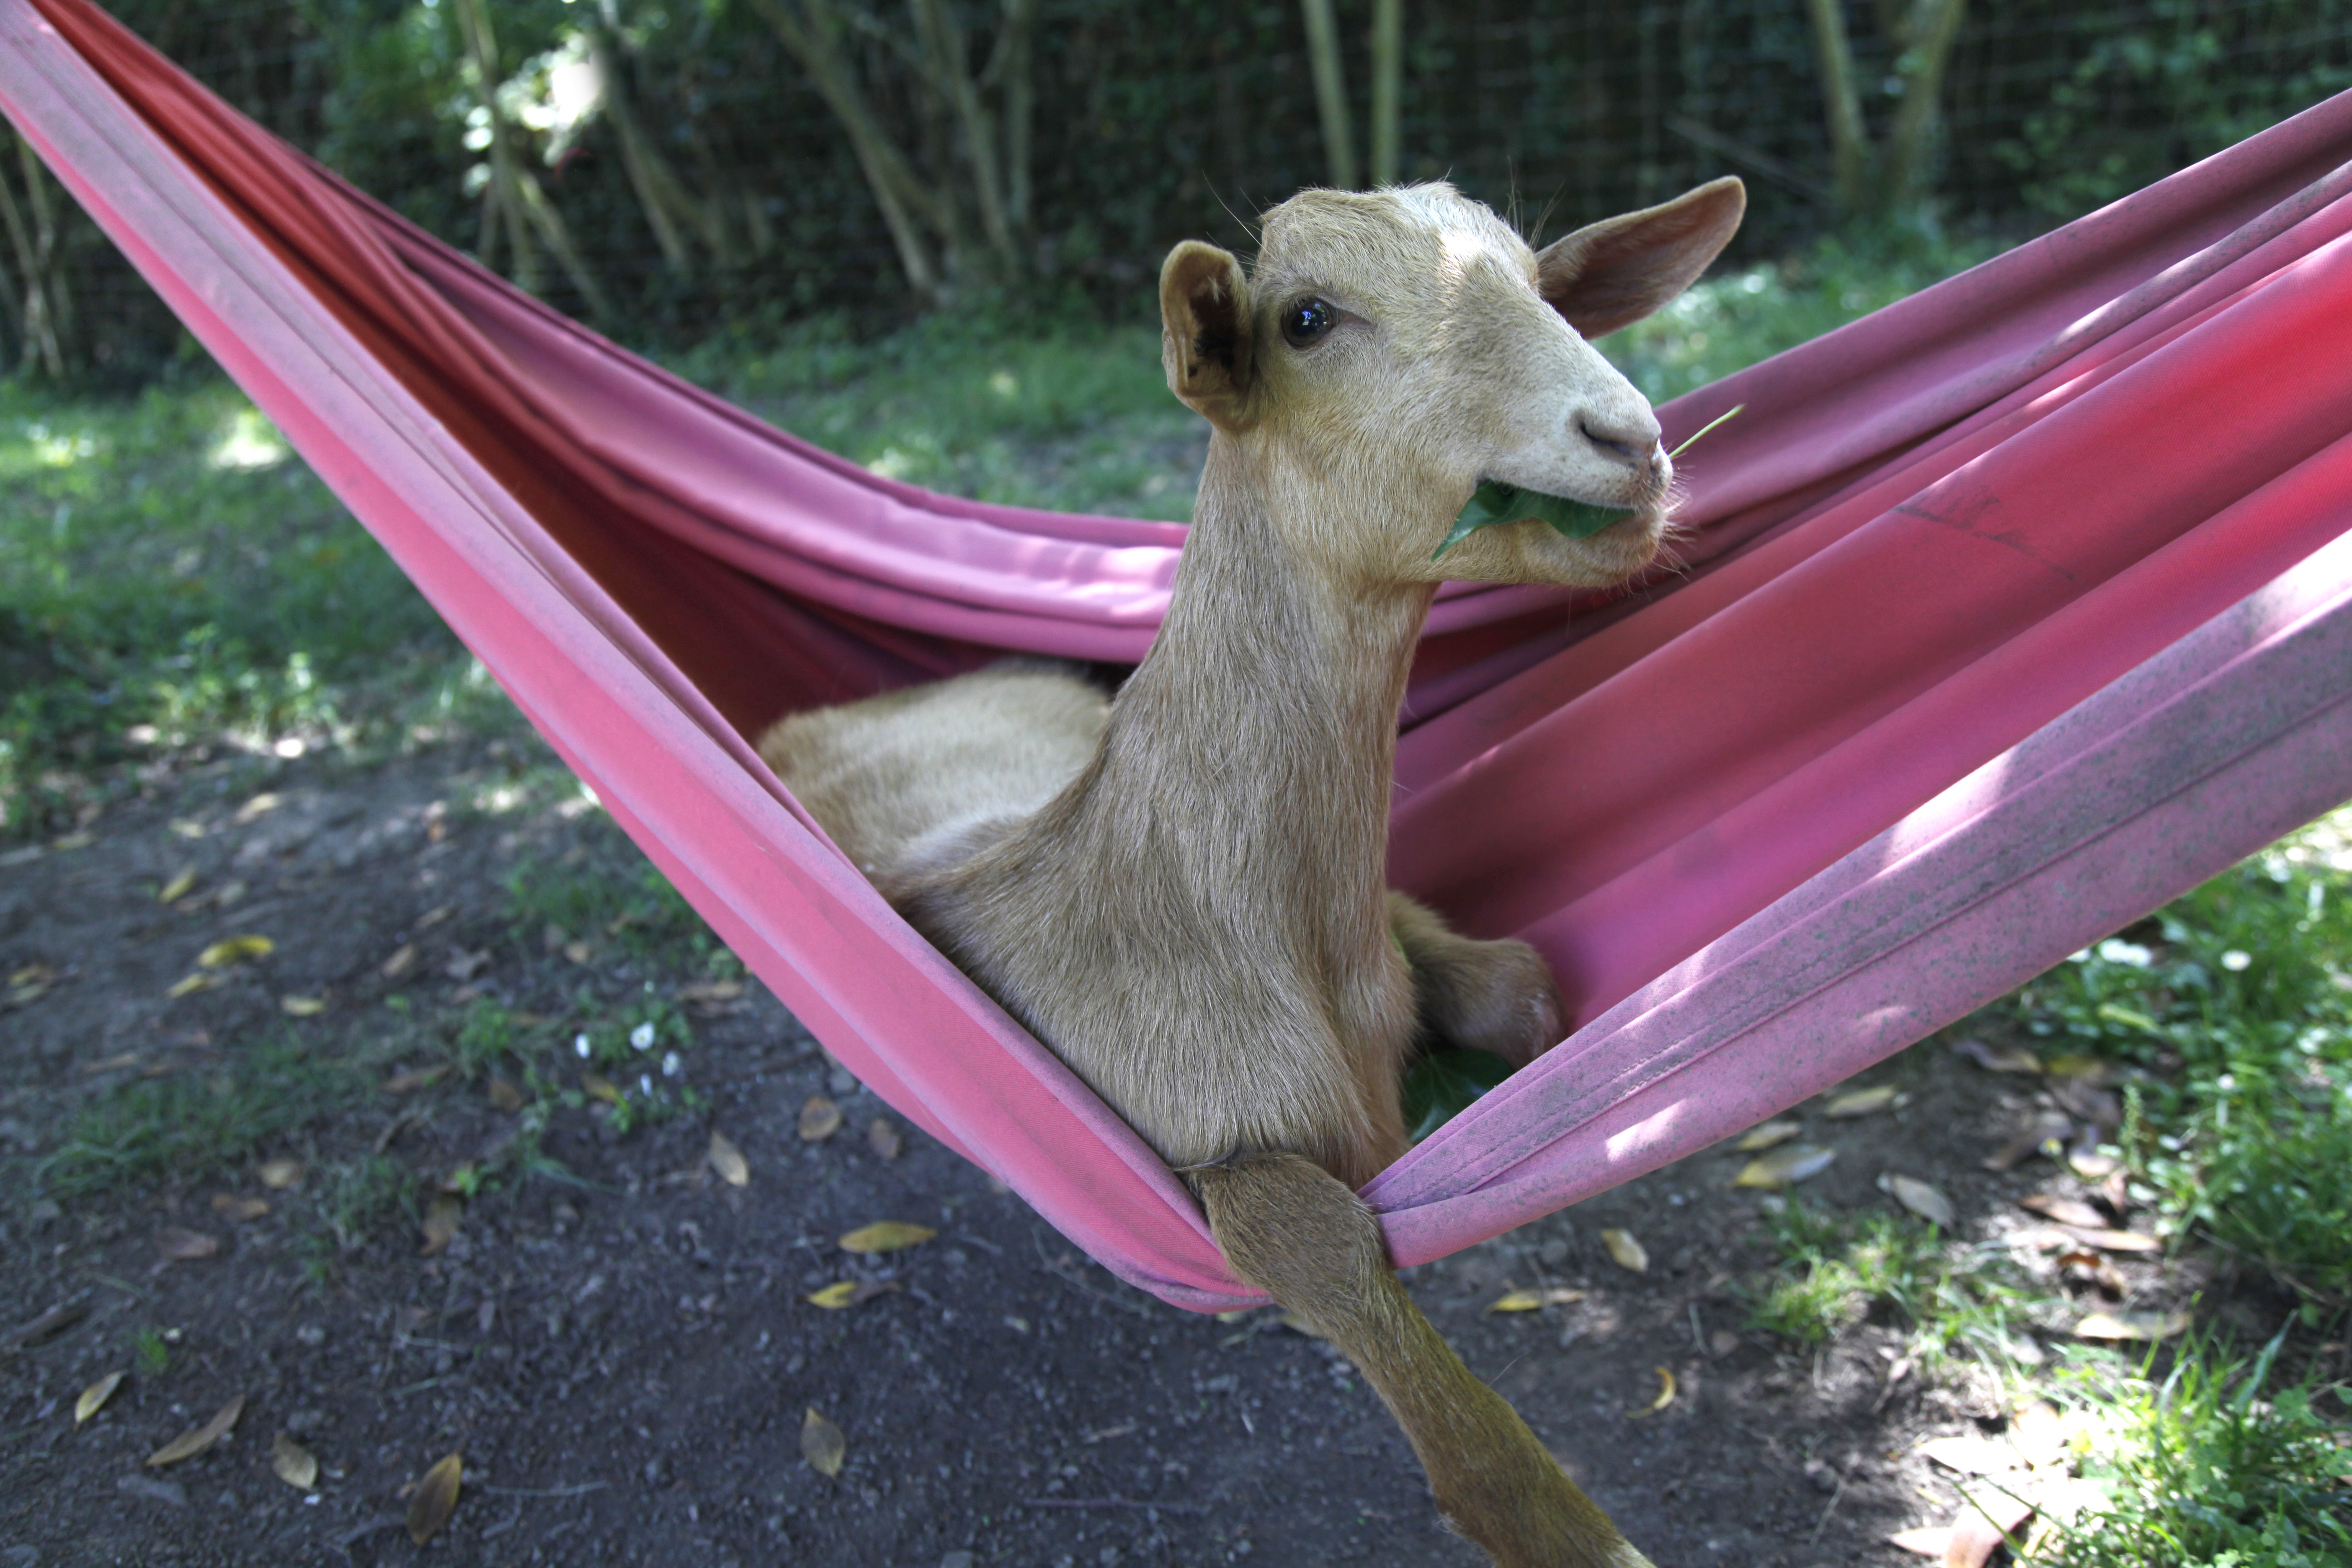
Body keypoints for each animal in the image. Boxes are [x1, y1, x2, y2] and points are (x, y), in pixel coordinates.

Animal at [762, 175, 1740, 1568]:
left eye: (1537, 279)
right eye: (1307, 318)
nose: (1628, 438)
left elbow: (1516, 984)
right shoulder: (1195, 1139)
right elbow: (1314, 1241)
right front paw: (1569, 1529)